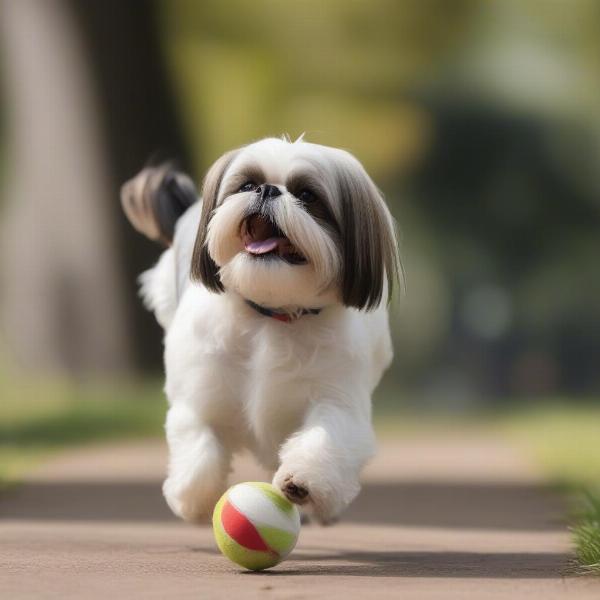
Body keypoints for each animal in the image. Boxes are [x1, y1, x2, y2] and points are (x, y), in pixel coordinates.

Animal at [120, 136, 400, 524]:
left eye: (308, 195)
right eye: (247, 185)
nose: (268, 190)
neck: (271, 314)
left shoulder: (338, 400)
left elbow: (325, 436)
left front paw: (302, 481)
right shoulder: (200, 394)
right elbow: (199, 447)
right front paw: (193, 500)